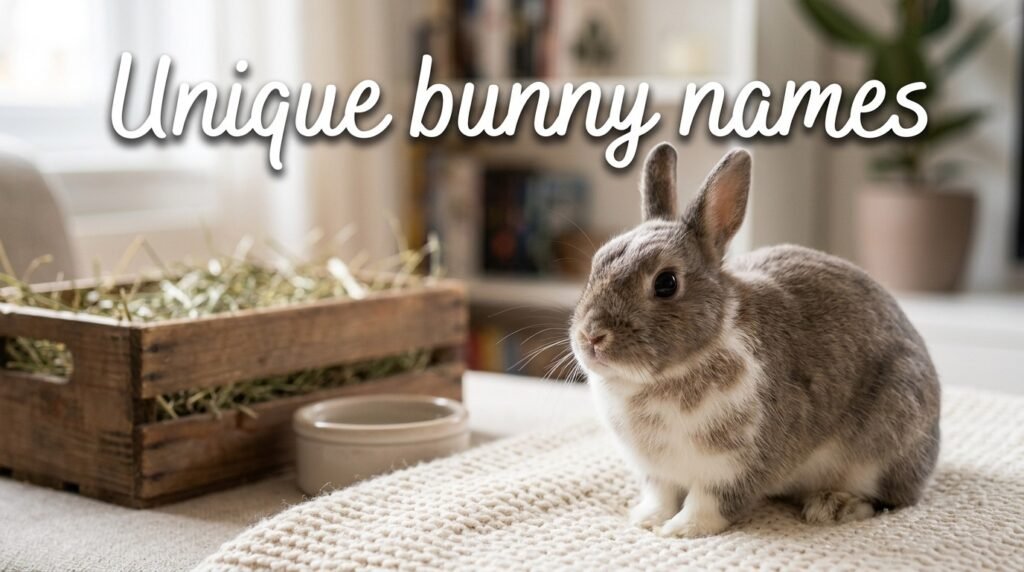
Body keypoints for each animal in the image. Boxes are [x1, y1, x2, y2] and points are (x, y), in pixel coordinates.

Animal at [570, 142, 941, 538]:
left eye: (666, 283)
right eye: (596, 263)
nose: (591, 336)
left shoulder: (735, 467)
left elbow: (709, 503)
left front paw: (681, 530)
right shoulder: (657, 472)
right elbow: (662, 495)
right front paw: (646, 519)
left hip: (884, 445)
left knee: (893, 500)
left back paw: (833, 506)